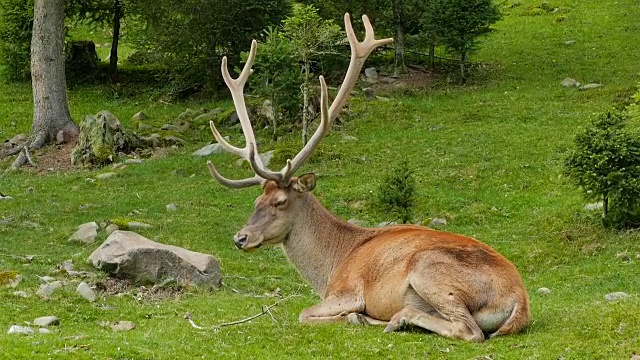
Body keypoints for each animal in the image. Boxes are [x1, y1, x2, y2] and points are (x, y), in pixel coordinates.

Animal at [206, 13, 528, 340]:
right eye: (257, 200)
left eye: (280, 201)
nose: (240, 237)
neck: (329, 268)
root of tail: (520, 302)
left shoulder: (347, 290)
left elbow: (304, 313)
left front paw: (354, 317)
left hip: (429, 269)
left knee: (469, 330)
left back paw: (397, 318)